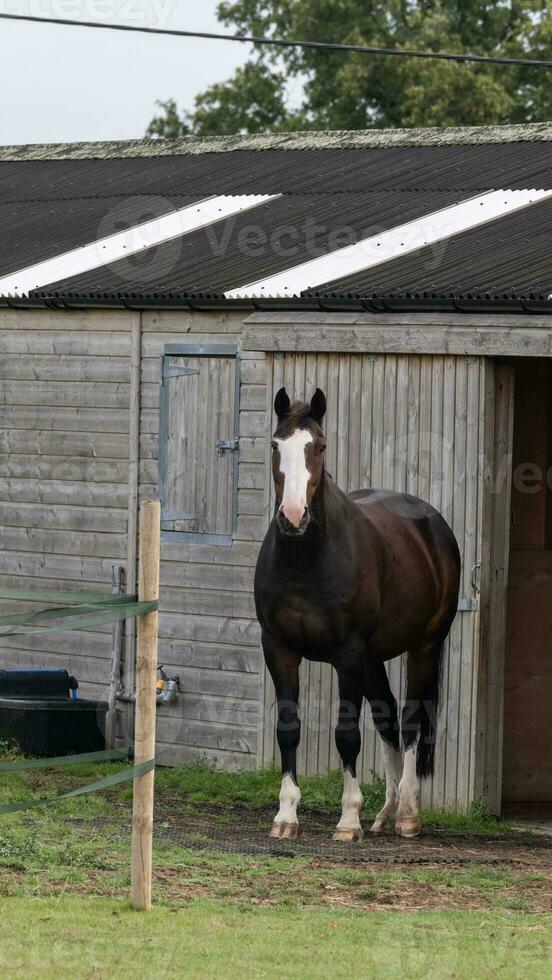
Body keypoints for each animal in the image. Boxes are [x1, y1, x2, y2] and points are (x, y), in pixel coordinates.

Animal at [254, 386, 462, 840]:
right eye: (276, 445)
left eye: (319, 446)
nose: (293, 517)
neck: (307, 563)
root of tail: (432, 524)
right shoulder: (278, 649)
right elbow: (288, 730)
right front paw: (286, 815)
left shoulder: (347, 654)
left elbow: (346, 733)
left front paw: (348, 819)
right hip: (373, 659)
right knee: (387, 718)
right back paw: (386, 812)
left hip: (423, 648)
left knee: (412, 718)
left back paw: (408, 814)